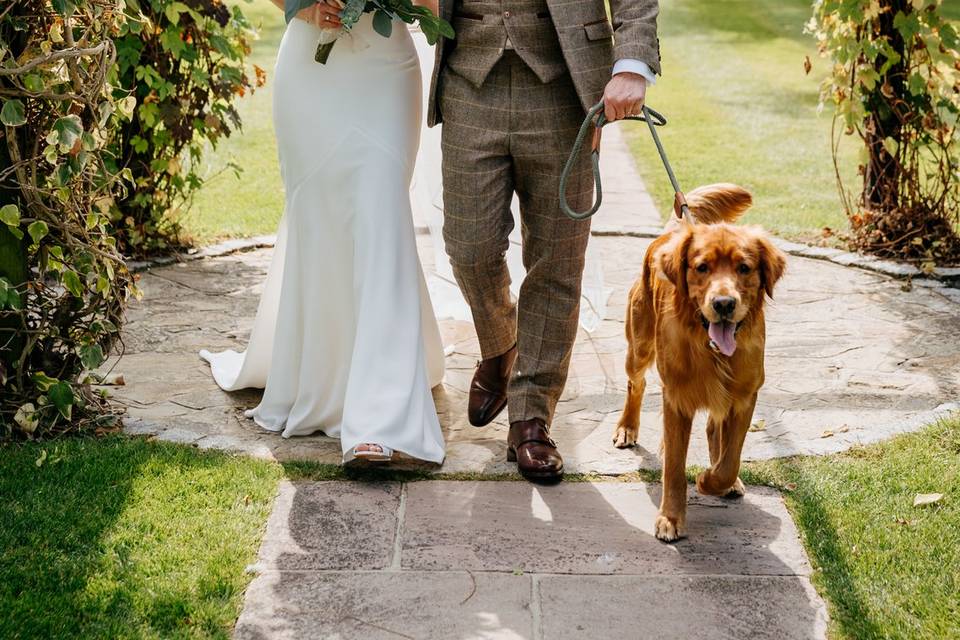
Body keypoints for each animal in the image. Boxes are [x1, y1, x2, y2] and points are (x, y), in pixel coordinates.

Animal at [616, 184, 788, 540]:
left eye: (744, 268)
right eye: (702, 267)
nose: (723, 304)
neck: (712, 351)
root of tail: (675, 230)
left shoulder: (744, 397)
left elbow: (729, 460)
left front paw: (711, 481)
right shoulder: (677, 397)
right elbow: (674, 467)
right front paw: (671, 517)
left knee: (712, 429)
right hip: (639, 348)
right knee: (636, 384)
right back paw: (627, 428)